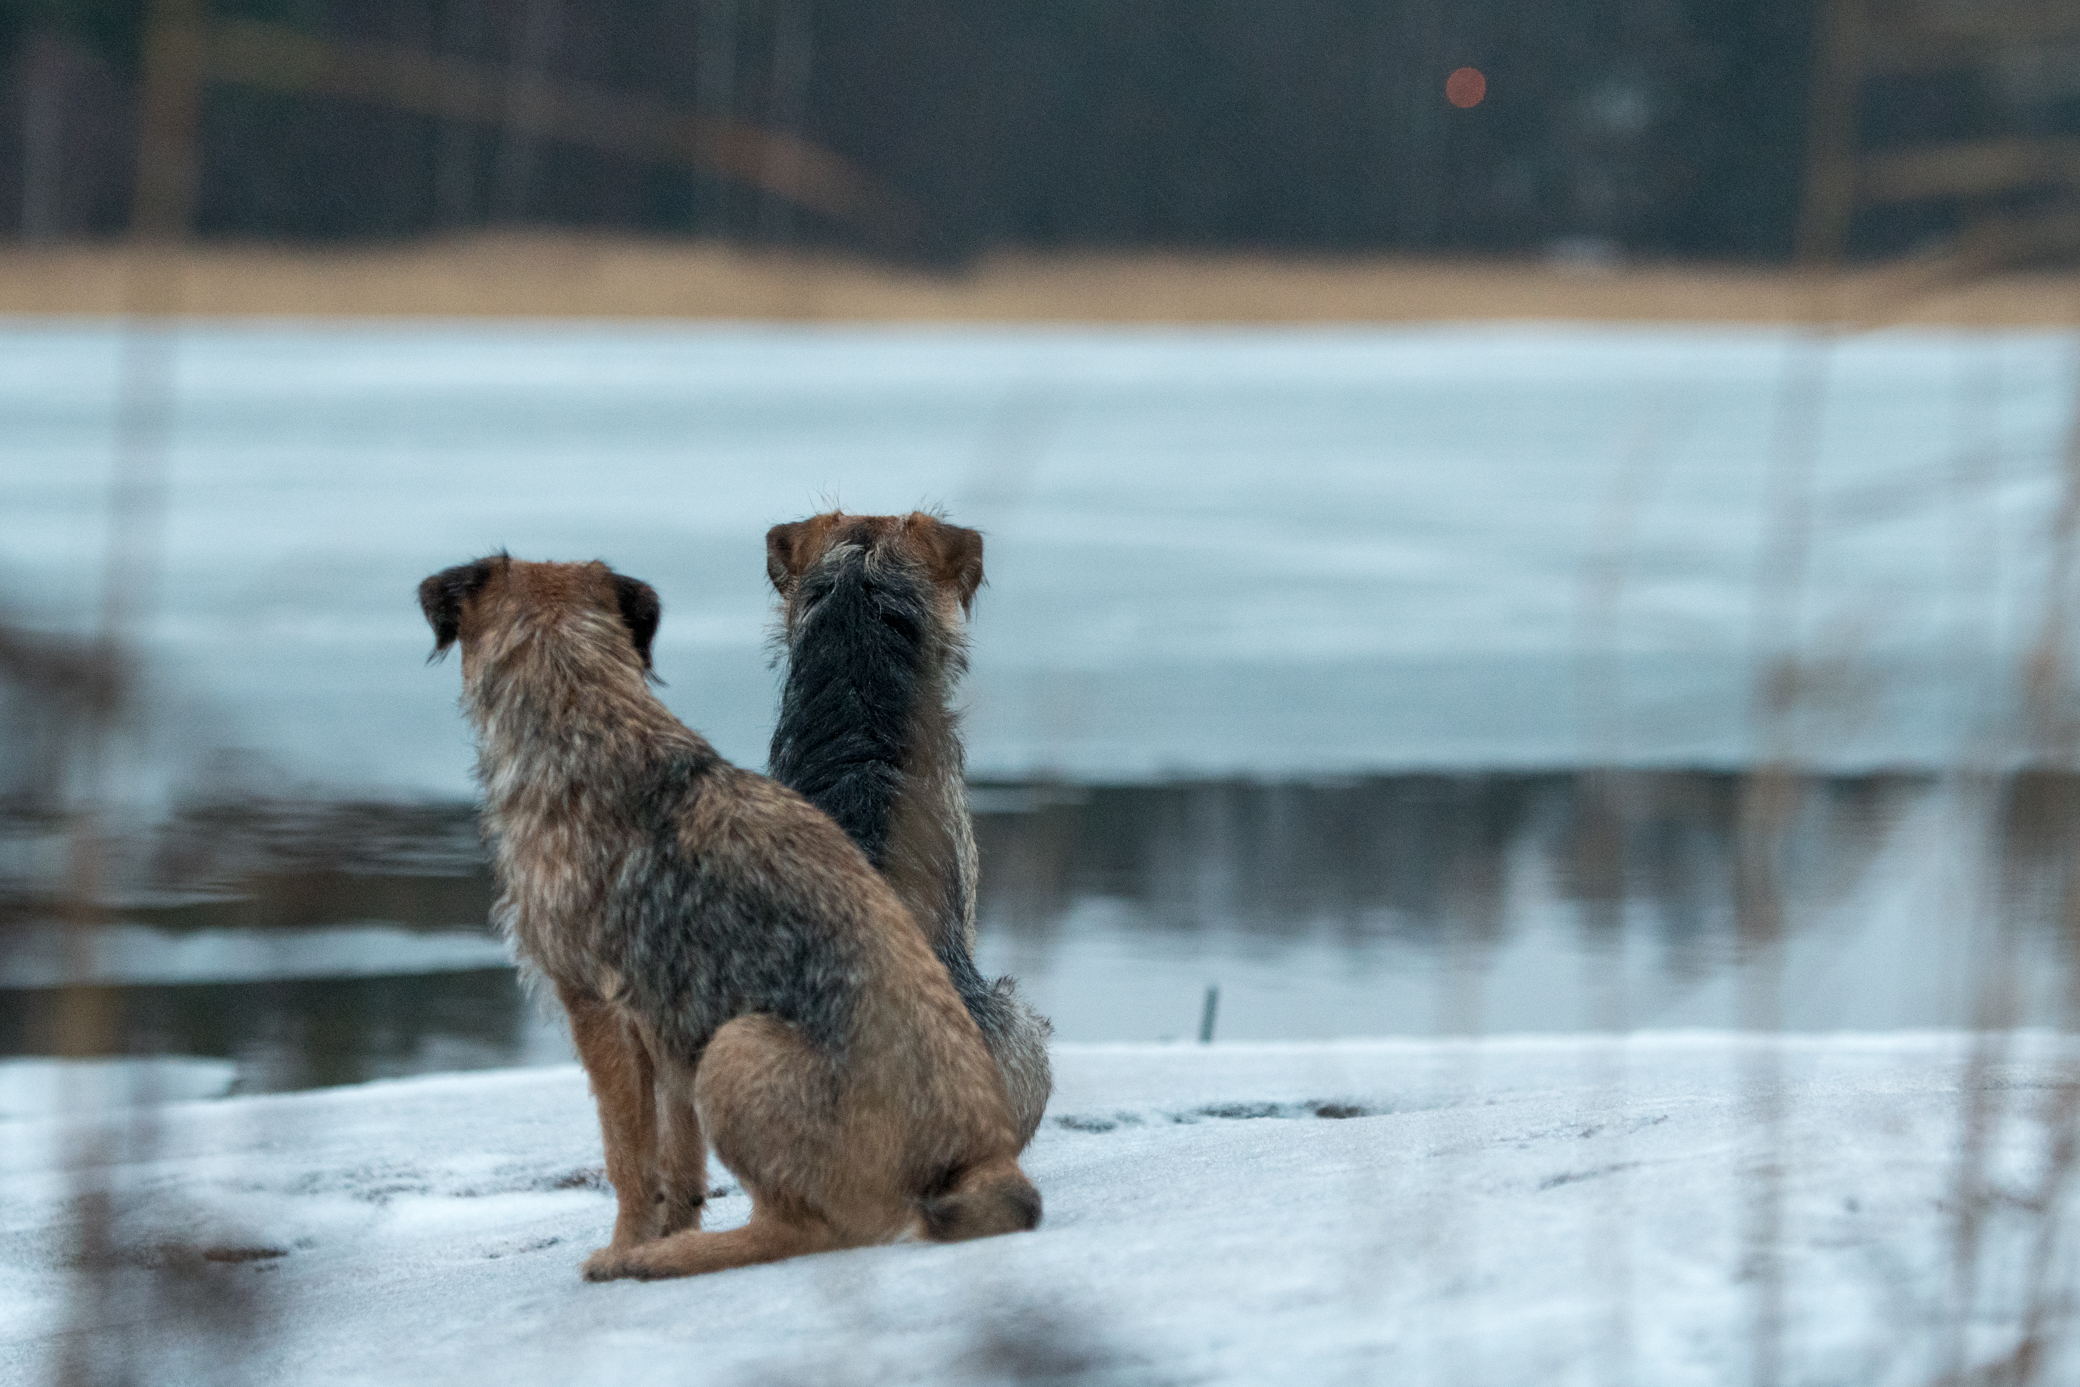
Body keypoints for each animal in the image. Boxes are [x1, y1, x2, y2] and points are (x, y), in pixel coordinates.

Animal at [422, 548, 1040, 1280]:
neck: (587, 715)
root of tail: (978, 1161)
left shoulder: (597, 1010)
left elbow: (627, 1156)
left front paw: (625, 1246)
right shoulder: (664, 1025)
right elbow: (677, 1159)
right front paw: (666, 1222)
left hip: (736, 1047)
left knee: (807, 1230)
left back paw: (671, 1257)